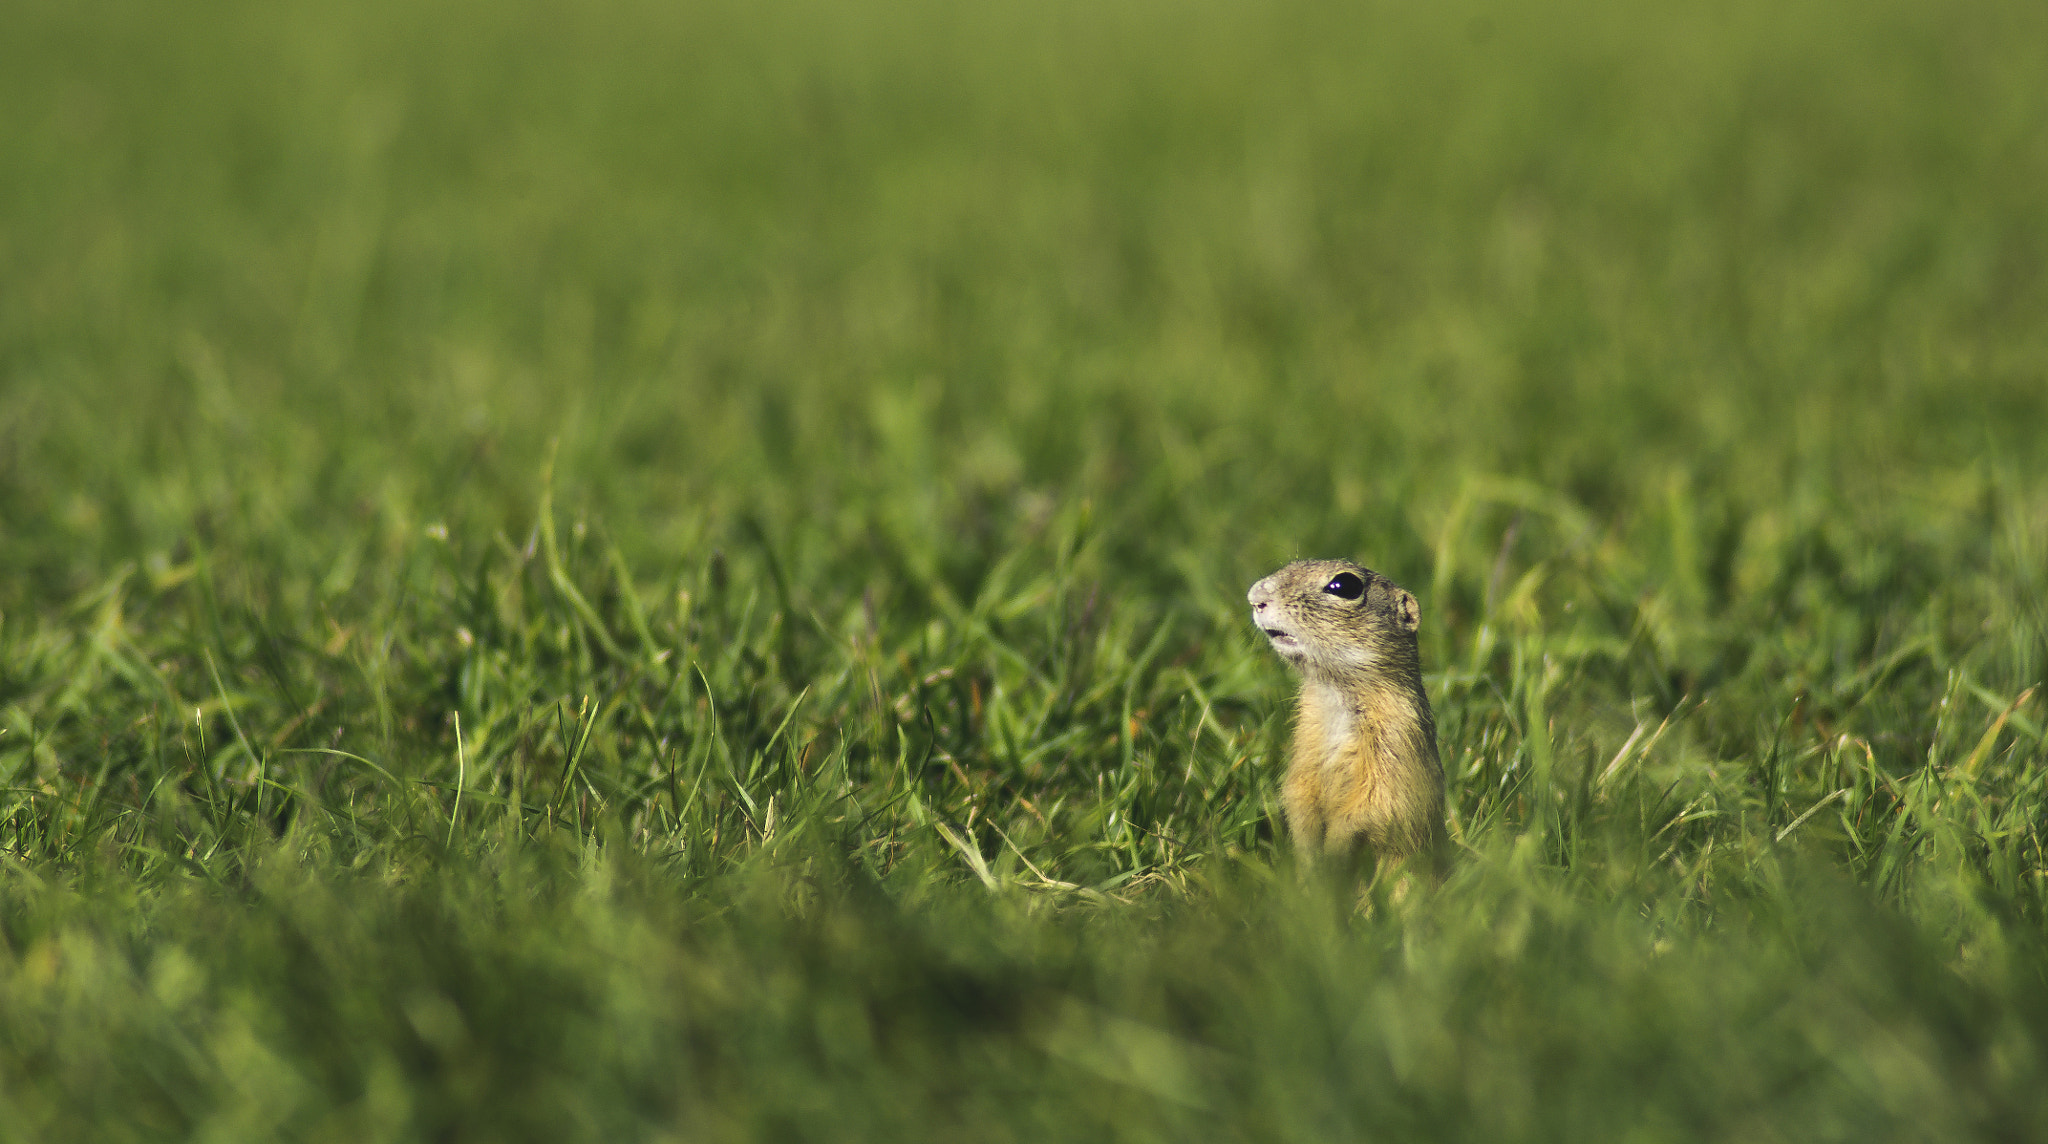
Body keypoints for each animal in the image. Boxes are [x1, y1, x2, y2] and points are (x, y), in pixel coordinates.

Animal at [1236, 560, 1449, 875]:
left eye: (1345, 586)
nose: (1255, 597)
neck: (1335, 692)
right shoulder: (1306, 740)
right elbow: (1298, 793)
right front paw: (1311, 862)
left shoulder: (1396, 738)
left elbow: (1372, 808)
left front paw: (1331, 857)